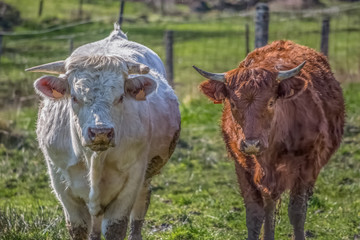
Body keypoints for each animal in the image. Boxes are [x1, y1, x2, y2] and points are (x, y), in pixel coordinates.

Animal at [26, 24, 181, 240]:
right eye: (74, 97)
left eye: (121, 96)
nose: (101, 132)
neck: (94, 158)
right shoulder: (61, 182)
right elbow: (79, 228)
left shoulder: (131, 180)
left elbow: (116, 227)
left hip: (146, 175)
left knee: (140, 206)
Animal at [194, 40, 346, 239]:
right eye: (233, 104)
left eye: (271, 102)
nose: (251, 143)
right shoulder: (243, 167)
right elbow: (255, 214)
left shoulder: (306, 165)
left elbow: (297, 212)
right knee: (269, 205)